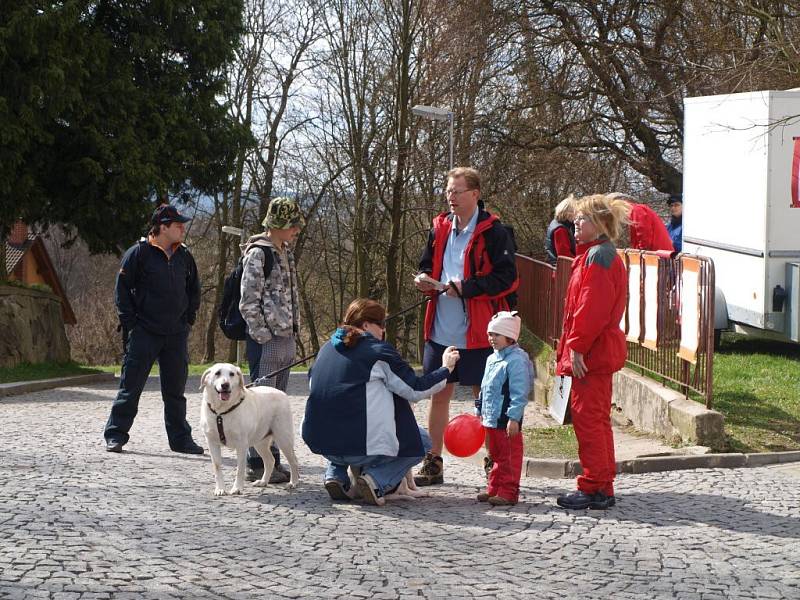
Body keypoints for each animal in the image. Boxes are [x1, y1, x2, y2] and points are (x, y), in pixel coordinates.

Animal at [200, 360, 300, 496]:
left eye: (232, 374)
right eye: (217, 373)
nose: (225, 385)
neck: (221, 411)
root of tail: (281, 392)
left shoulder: (241, 444)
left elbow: (240, 469)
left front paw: (237, 488)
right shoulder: (212, 442)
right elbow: (217, 466)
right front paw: (220, 489)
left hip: (283, 438)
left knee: (293, 461)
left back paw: (293, 483)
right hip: (260, 442)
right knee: (270, 461)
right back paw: (263, 482)